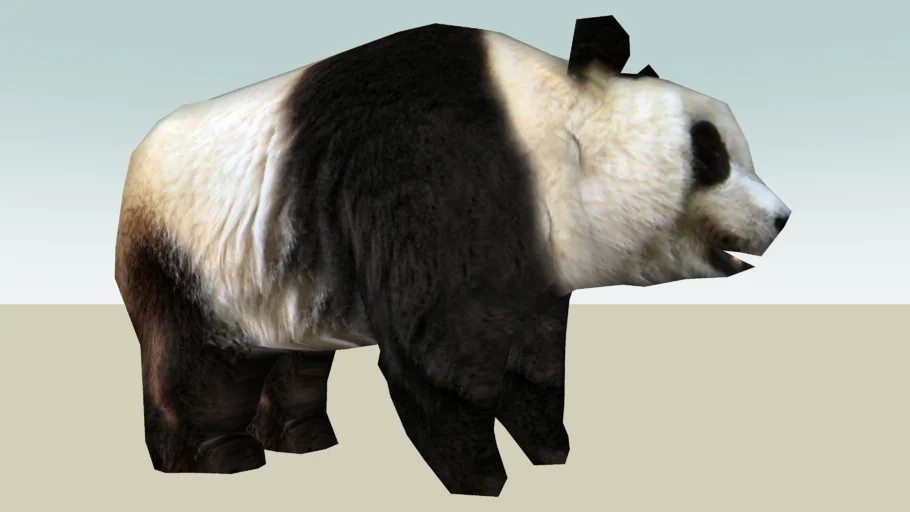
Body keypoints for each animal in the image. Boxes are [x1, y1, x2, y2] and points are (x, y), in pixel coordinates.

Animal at [115, 17, 790, 497]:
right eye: (710, 153)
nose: (782, 218)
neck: (545, 131)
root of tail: (135, 159)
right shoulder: (428, 172)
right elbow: (440, 353)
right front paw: (481, 475)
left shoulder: (538, 255)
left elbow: (537, 358)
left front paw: (550, 450)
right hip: (184, 253)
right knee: (201, 363)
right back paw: (218, 458)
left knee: (297, 358)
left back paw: (306, 439)